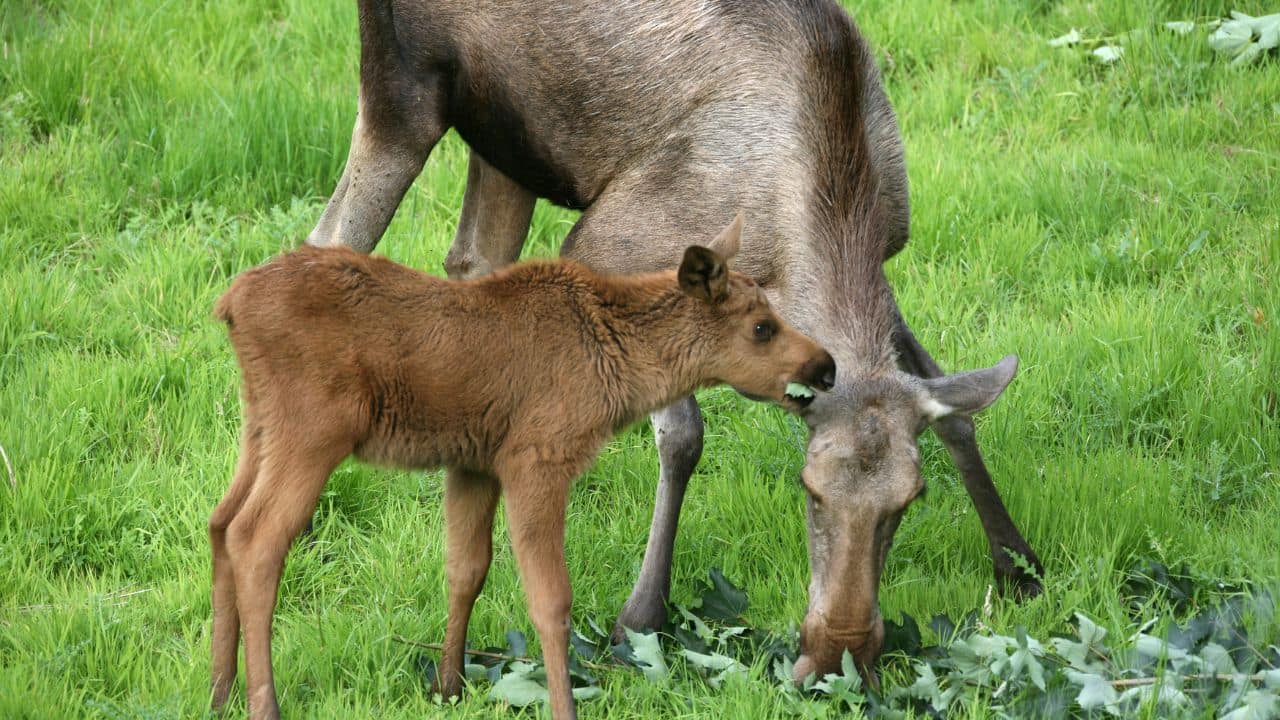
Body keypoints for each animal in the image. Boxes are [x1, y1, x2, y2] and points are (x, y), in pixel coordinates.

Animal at [209, 217, 837, 719]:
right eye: (762, 328)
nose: (826, 367)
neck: (619, 363)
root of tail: (229, 305)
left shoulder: (473, 465)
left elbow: (466, 571)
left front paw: (448, 685)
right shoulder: (536, 459)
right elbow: (551, 601)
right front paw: (562, 706)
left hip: (259, 424)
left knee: (220, 522)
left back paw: (219, 689)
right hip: (314, 429)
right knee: (256, 538)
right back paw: (263, 702)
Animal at [305, 0, 1042, 687]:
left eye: (910, 500)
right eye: (809, 490)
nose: (840, 653)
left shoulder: (880, 269)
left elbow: (951, 403)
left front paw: (1018, 563)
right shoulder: (611, 247)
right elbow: (683, 434)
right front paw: (639, 618)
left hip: (506, 137)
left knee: (472, 261)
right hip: (401, 91)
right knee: (330, 239)